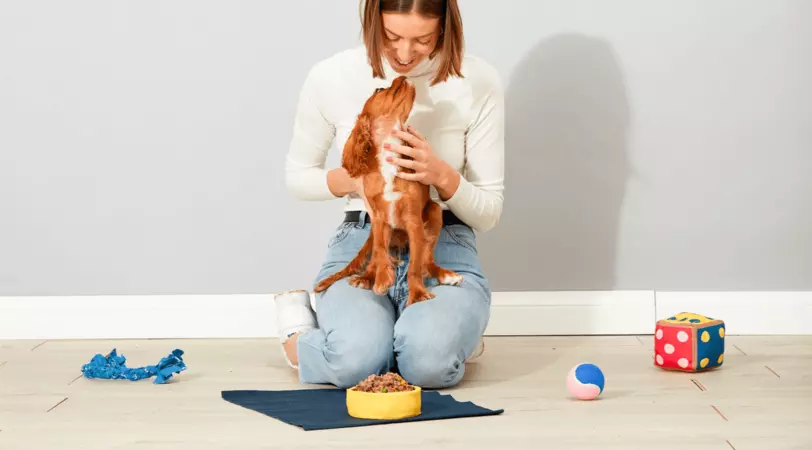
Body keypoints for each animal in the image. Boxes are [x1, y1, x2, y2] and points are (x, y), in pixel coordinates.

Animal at [314, 76, 463, 306]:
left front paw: (417, 293)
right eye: (379, 89)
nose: (401, 77)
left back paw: (445, 274)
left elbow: (414, 266)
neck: (389, 157)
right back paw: (366, 277)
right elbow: (380, 251)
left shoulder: (413, 221)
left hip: (435, 211)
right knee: (375, 257)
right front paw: (382, 278)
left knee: (426, 260)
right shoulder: (378, 217)